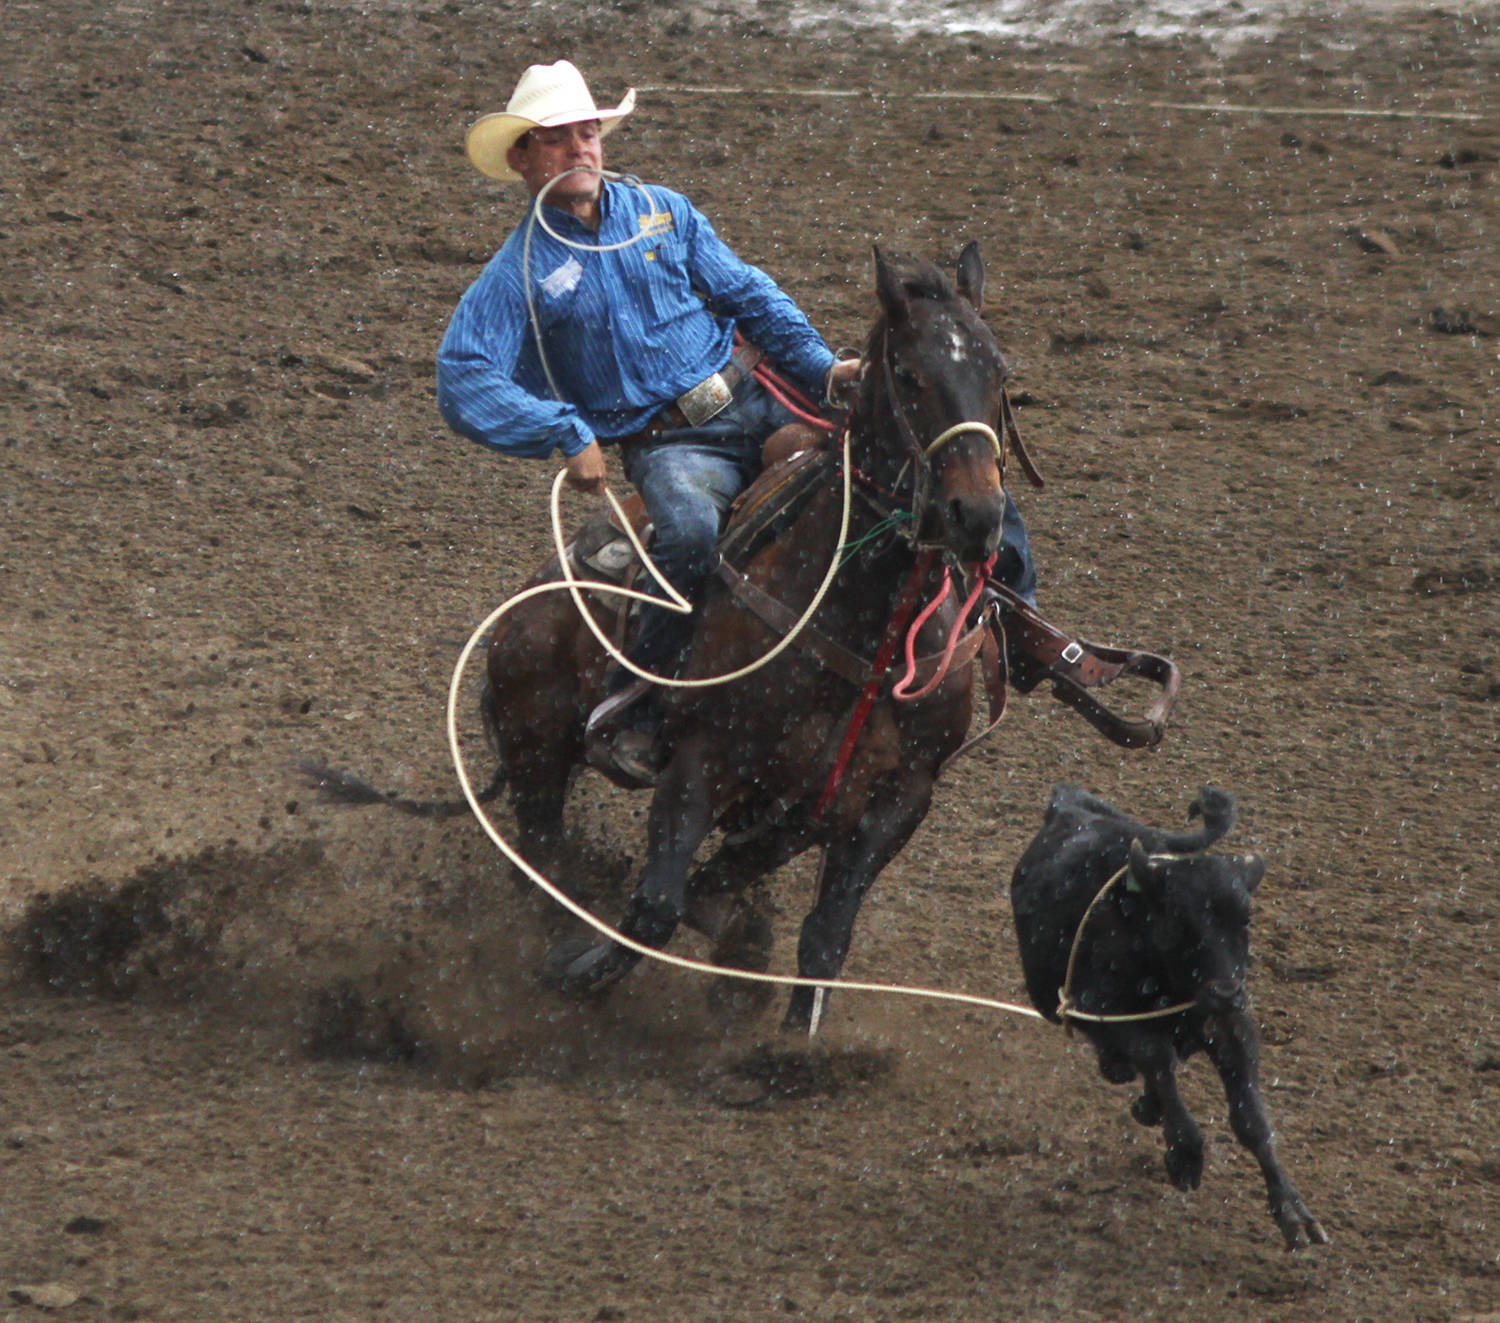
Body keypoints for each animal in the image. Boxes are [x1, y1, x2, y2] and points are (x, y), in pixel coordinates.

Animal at [483, 243, 1020, 1026]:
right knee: (543, 858)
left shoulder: (892, 800)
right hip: (534, 747)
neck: (867, 627)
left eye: (1000, 376)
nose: (976, 515)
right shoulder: (702, 754)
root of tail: (527, 598)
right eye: (910, 375)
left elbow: (822, 939)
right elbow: (654, 907)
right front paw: (575, 969)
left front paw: (782, 1031)